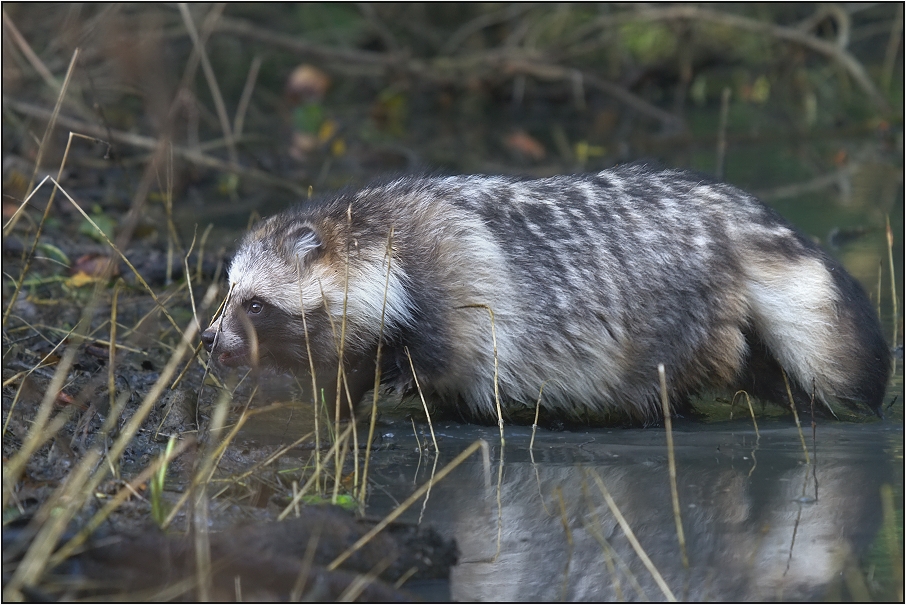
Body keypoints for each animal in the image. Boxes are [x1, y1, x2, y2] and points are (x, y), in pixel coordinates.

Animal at [201, 163, 888, 422]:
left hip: (678, 310)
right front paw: (333, 401)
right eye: (229, 293)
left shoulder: (450, 276)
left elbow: (443, 352)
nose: (211, 342)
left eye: (254, 303)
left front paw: (396, 385)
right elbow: (347, 367)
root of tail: (729, 217)